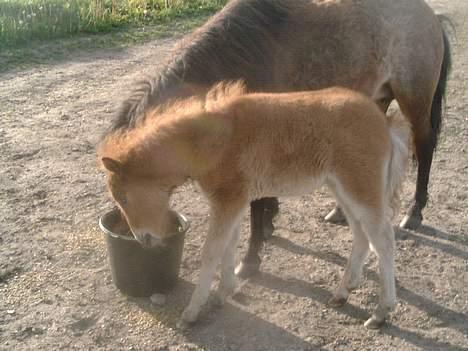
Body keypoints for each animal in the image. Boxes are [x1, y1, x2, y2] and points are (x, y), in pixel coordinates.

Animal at [99, 82, 414, 330]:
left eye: (123, 198)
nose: (142, 238)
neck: (212, 142)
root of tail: (383, 121)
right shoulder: (235, 202)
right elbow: (229, 244)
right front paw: (223, 294)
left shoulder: (228, 200)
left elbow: (211, 252)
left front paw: (191, 312)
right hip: (342, 189)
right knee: (362, 235)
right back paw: (343, 292)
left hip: (361, 188)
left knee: (384, 240)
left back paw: (381, 312)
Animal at [106, 0, 450, 280]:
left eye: (123, 196)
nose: (141, 239)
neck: (235, 60)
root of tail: (431, 16)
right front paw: (270, 225)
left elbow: (257, 204)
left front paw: (250, 259)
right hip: (374, 101)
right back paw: (341, 211)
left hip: (415, 102)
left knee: (425, 149)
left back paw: (414, 213)